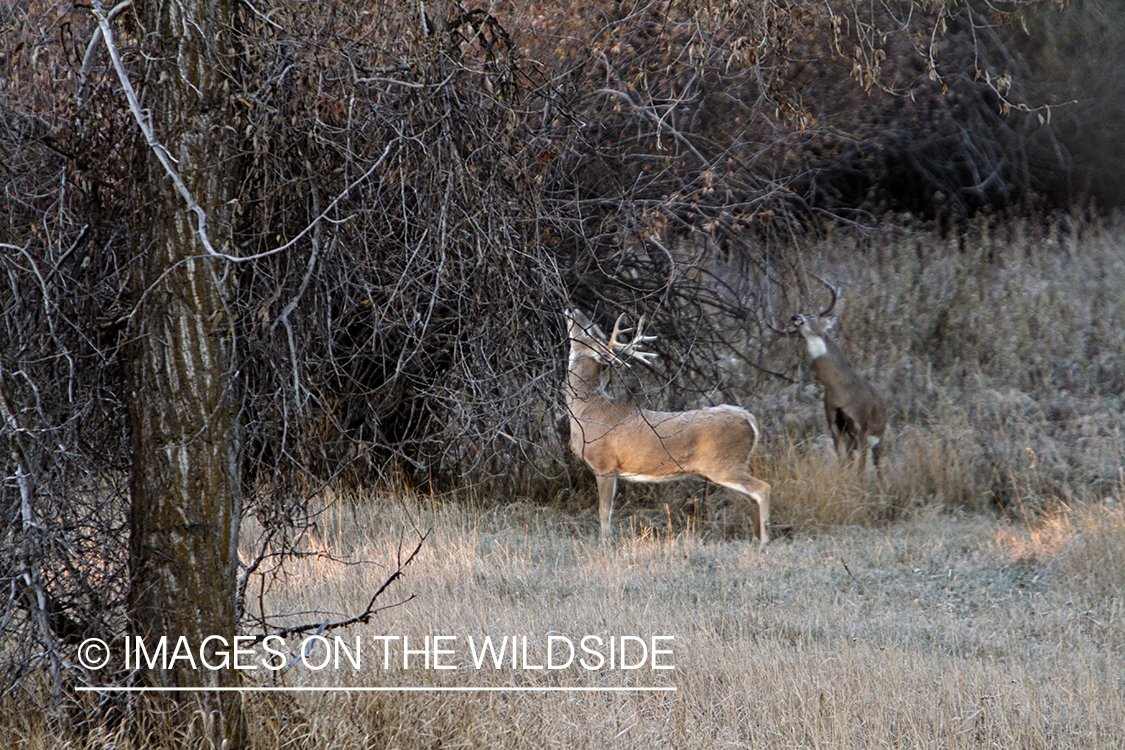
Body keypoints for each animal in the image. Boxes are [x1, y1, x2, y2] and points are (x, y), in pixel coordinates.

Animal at [562, 308, 774, 541]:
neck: (587, 410)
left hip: (725, 462)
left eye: (590, 331)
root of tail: (749, 419)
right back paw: (756, 537)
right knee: (753, 495)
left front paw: (605, 541)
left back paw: (764, 541)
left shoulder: (605, 464)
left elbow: (604, 511)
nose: (573, 309)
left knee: (763, 488)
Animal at [774, 277, 886, 474]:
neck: (841, 389)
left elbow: (861, 470)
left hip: (880, 436)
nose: (795, 316)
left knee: (879, 466)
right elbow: (842, 463)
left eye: (812, 316)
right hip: (852, 439)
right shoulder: (834, 424)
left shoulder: (862, 425)